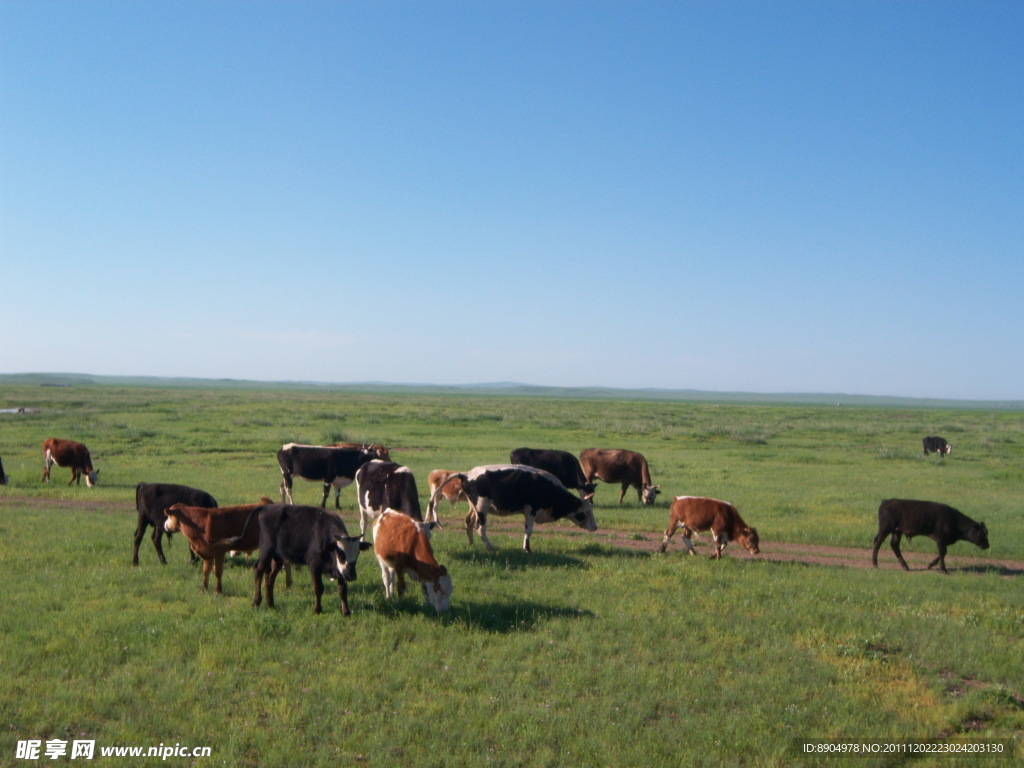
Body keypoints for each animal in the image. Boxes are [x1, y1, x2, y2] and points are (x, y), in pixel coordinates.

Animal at [432, 462, 598, 552]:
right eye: (586, 512)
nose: (595, 527)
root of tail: (466, 474)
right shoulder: (531, 511)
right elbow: (528, 531)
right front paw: (527, 548)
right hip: (482, 508)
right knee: (480, 528)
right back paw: (490, 547)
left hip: (474, 507)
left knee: (468, 523)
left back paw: (472, 544)